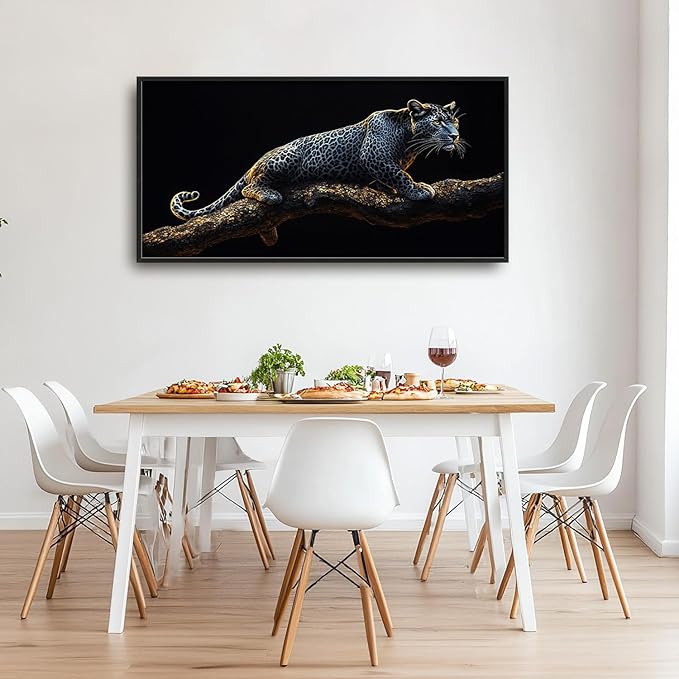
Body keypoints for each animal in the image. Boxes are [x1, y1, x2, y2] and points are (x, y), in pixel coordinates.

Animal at [170, 98, 467, 220]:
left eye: (454, 121)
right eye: (438, 122)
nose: (454, 135)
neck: (409, 140)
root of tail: (256, 161)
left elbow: (391, 179)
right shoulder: (374, 156)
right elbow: (398, 174)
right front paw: (418, 189)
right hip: (285, 160)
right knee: (249, 186)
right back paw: (269, 194)